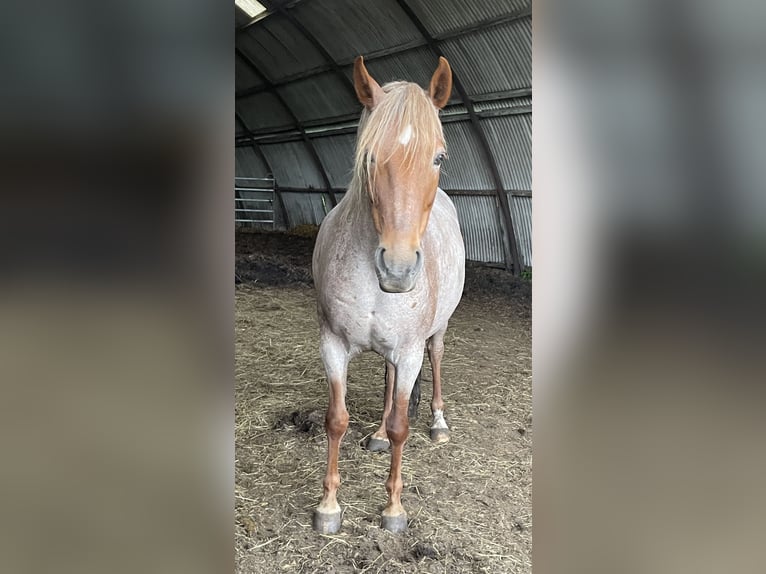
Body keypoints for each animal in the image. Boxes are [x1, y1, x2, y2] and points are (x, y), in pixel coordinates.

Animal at [312, 55, 468, 536]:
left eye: (439, 156)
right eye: (370, 156)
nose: (397, 269)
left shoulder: (410, 349)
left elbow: (403, 425)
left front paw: (393, 510)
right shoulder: (332, 343)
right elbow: (336, 420)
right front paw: (329, 506)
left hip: (435, 335)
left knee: (436, 361)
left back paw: (438, 423)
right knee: (387, 380)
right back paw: (378, 435)